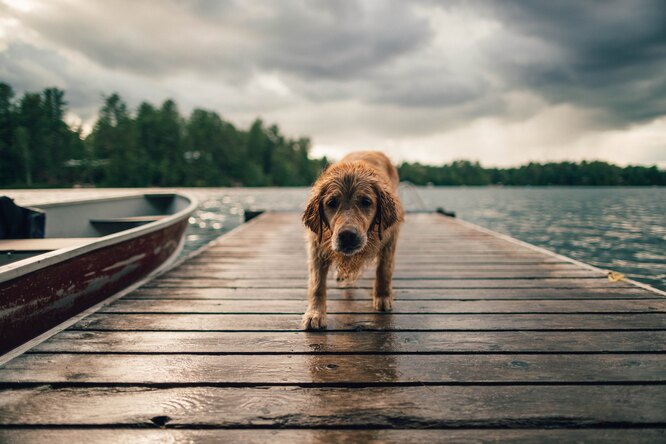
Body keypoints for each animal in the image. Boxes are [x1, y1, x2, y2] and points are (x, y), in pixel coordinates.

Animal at [302, 152, 404, 330]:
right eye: (331, 203)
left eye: (366, 202)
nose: (347, 235)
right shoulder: (316, 245)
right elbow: (317, 283)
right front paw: (315, 314)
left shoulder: (390, 237)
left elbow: (384, 270)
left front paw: (382, 297)